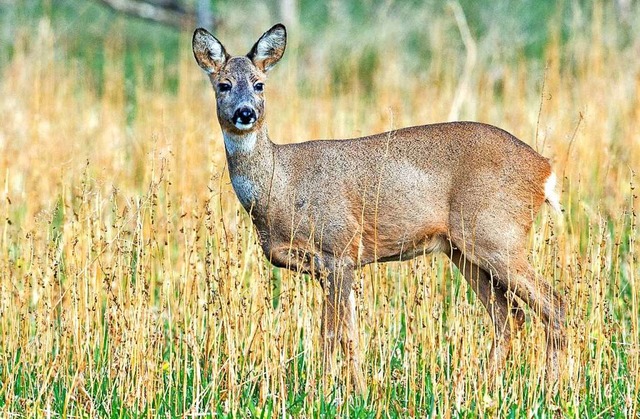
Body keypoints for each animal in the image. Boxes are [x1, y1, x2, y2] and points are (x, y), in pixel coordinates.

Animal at [190, 23, 564, 398]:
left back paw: (549, 389)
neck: (282, 187)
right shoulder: (331, 266)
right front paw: (357, 391)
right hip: (463, 250)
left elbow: (331, 333)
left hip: (497, 234)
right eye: (223, 85)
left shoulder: (337, 250)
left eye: (259, 84)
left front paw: (321, 393)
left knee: (553, 303)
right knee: (509, 316)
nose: (245, 113)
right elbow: (350, 334)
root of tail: (544, 168)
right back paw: (481, 387)